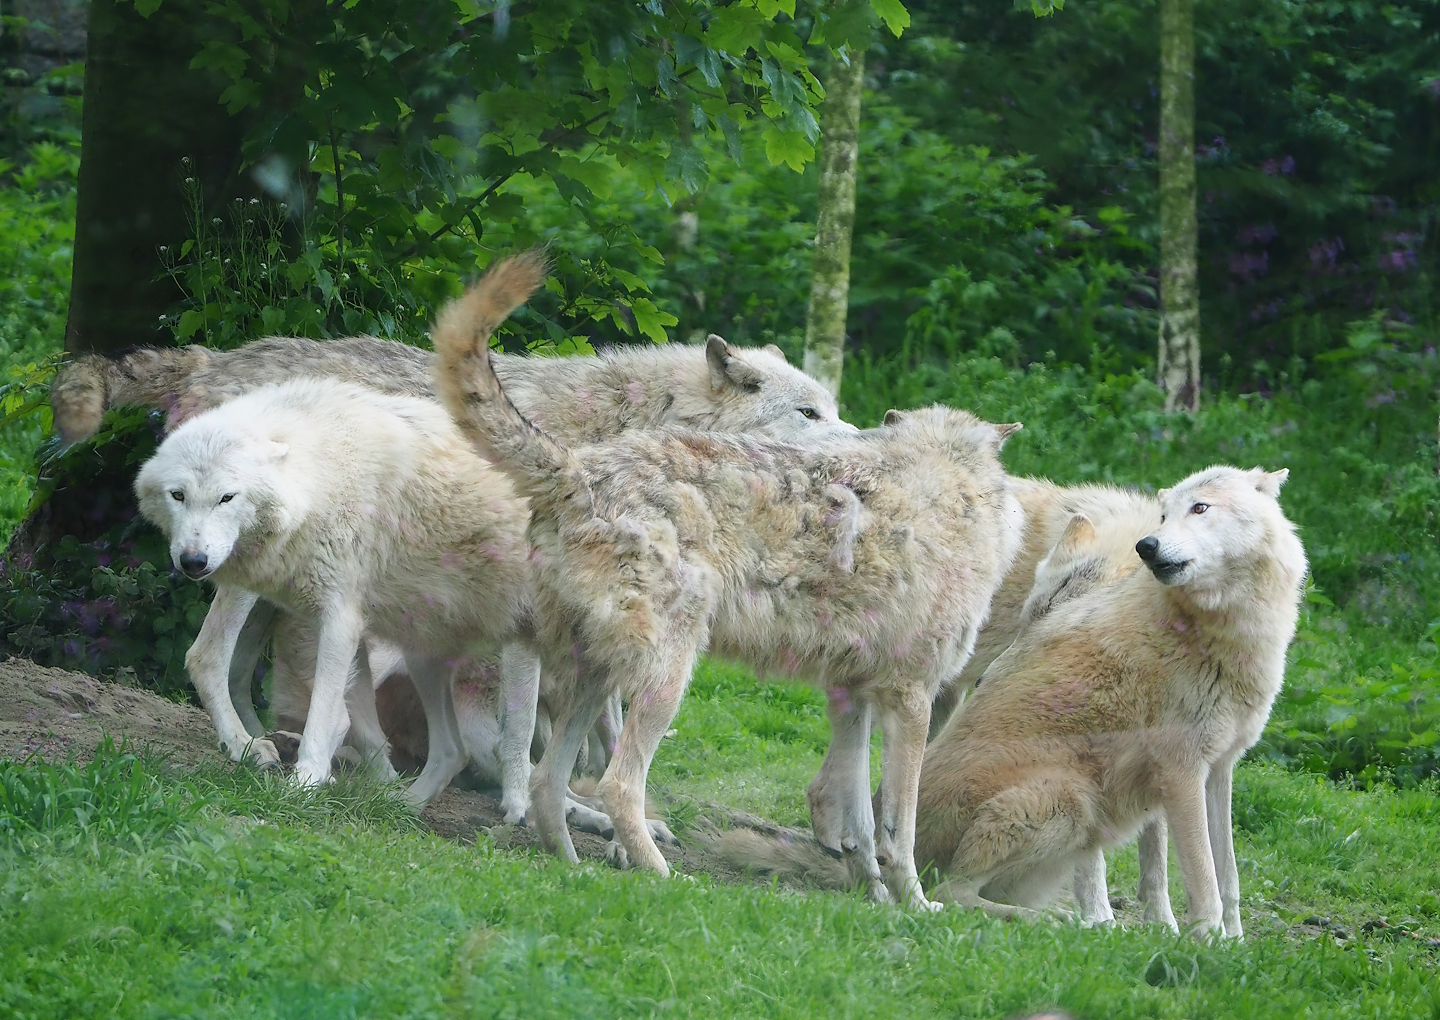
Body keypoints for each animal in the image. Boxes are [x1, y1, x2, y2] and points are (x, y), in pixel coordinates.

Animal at [433, 276, 1023, 909]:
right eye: (809, 413)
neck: (947, 490)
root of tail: (578, 467)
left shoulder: (851, 698)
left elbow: (861, 822)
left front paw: (875, 897)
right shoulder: (912, 700)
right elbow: (900, 827)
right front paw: (914, 904)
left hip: (597, 678)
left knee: (551, 782)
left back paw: (572, 870)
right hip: (666, 682)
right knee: (618, 785)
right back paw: (663, 876)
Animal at [911, 465, 1305, 936]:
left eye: (1200, 507)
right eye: (1164, 515)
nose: (1147, 546)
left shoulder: (1218, 768)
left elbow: (1222, 873)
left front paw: (1226, 939)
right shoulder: (1178, 771)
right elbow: (1199, 874)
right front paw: (1201, 939)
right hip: (1071, 798)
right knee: (951, 891)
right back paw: (1068, 922)